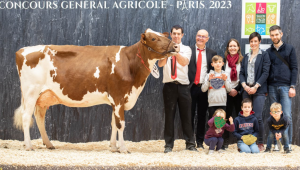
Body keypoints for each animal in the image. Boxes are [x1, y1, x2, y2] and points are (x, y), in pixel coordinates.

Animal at [13, 28, 178, 153]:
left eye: (165, 36)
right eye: (153, 38)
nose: (176, 46)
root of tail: (22, 50)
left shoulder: (116, 101)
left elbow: (113, 123)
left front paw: (113, 147)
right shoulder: (118, 97)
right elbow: (121, 124)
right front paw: (123, 148)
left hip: (43, 96)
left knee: (39, 117)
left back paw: (48, 144)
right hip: (30, 92)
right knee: (26, 116)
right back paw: (29, 146)